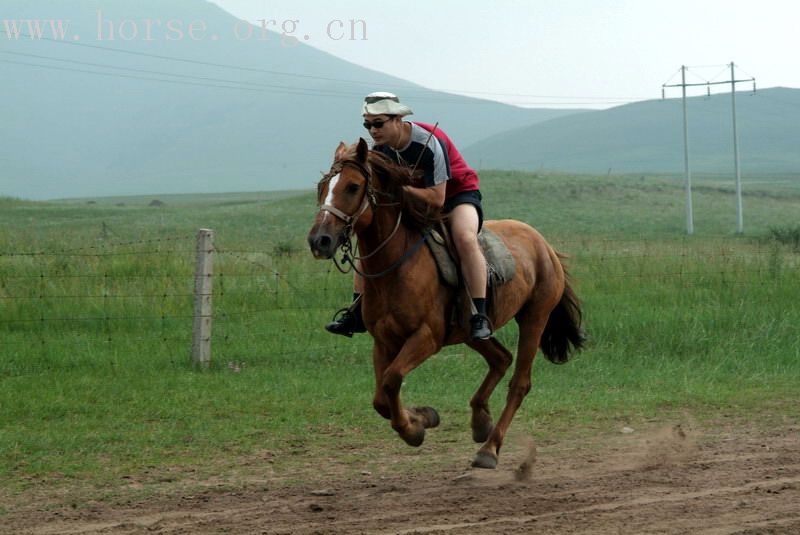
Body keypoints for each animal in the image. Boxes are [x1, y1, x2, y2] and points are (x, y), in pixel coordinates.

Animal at [306, 138, 580, 468]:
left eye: (352, 186)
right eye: (322, 186)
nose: (319, 240)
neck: (396, 267)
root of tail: (544, 244)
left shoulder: (426, 337)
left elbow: (392, 379)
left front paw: (415, 428)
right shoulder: (383, 341)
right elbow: (381, 398)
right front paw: (422, 417)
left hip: (534, 318)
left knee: (519, 383)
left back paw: (489, 448)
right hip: (470, 331)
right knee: (501, 358)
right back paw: (480, 421)